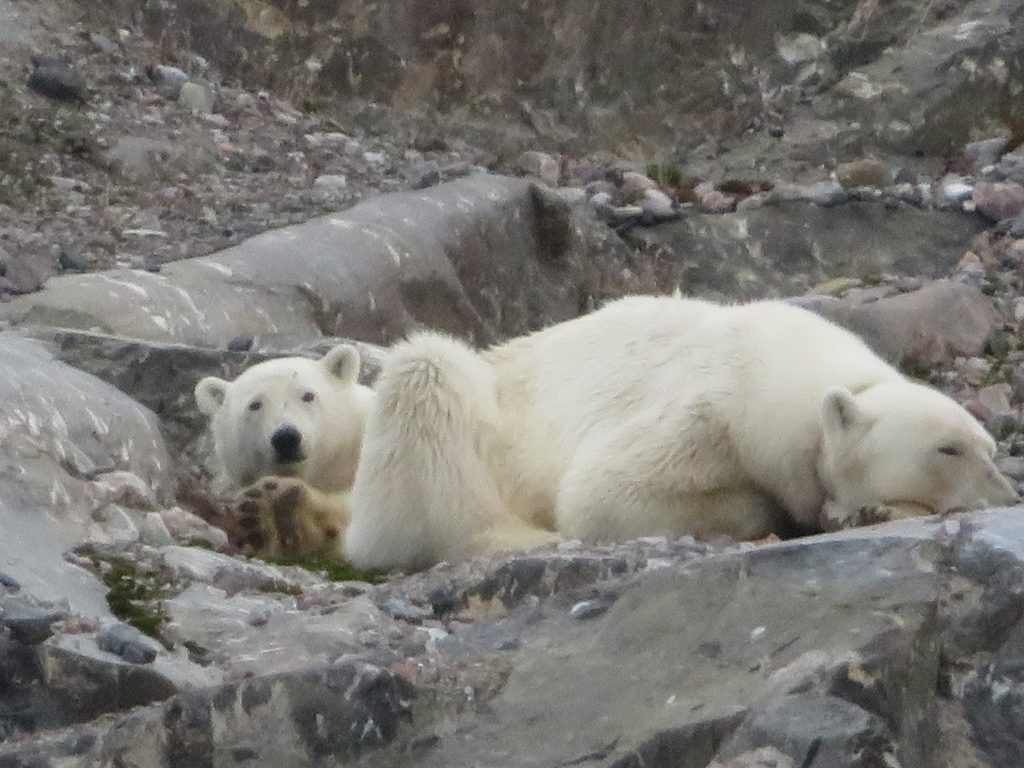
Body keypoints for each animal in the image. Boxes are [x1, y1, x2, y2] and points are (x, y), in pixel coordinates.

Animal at [348, 294, 1019, 573]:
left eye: (989, 448)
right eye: (948, 449)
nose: (1008, 496)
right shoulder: (710, 413)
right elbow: (599, 493)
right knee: (427, 371)